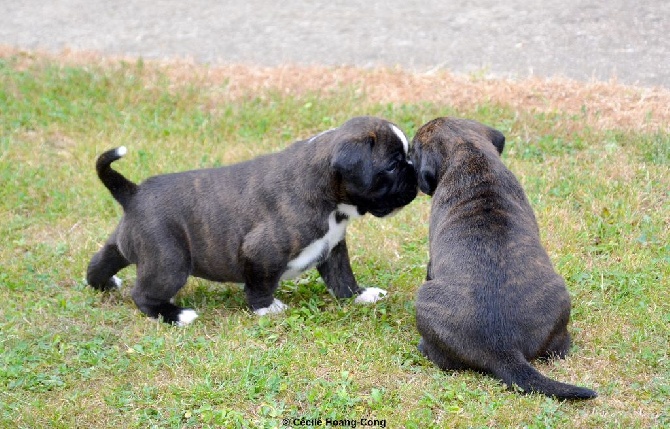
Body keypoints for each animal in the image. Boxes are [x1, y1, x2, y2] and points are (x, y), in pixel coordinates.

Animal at [86, 115, 418, 322]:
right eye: (392, 165)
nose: (414, 171)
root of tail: (133, 192)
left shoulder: (333, 248)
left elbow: (342, 279)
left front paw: (361, 296)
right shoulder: (262, 252)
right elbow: (260, 286)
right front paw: (266, 309)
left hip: (127, 246)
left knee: (99, 263)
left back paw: (106, 283)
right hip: (169, 261)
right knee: (142, 294)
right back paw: (177, 315)